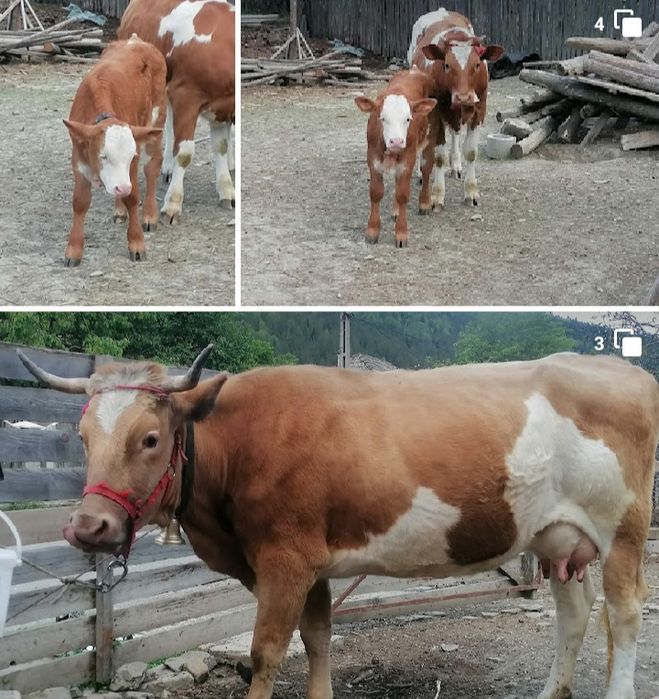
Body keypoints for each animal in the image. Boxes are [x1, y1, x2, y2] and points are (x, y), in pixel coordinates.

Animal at [16, 348, 657, 699]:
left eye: (150, 438)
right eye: (81, 435)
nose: (88, 527)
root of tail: (623, 371)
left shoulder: (283, 559)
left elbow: (267, 651)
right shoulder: (312, 561)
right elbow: (318, 639)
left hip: (622, 530)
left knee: (624, 614)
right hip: (557, 536)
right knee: (574, 612)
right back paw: (553, 690)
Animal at [63, 37, 166, 266]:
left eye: (130, 157)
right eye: (103, 156)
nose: (122, 187)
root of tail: (135, 40)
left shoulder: (133, 162)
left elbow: (133, 197)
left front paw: (137, 244)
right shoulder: (78, 159)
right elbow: (80, 202)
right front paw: (73, 251)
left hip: (156, 120)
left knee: (152, 168)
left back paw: (149, 215)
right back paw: (119, 209)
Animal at [117, 0, 236, 223]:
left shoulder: (221, 105)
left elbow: (221, 146)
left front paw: (226, 190)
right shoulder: (186, 95)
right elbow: (184, 153)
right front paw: (172, 203)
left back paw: (167, 167)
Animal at [355, 70, 437, 247]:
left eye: (408, 119)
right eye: (382, 118)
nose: (397, 141)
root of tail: (414, 70)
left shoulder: (408, 160)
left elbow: (403, 194)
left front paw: (401, 233)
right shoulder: (373, 158)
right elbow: (376, 192)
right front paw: (372, 231)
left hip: (431, 136)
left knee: (426, 170)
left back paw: (424, 203)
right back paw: (395, 210)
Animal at [409, 9, 504, 210]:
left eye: (477, 65)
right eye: (446, 65)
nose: (463, 97)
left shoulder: (479, 111)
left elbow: (471, 152)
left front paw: (471, 192)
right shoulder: (436, 113)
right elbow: (439, 156)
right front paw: (437, 195)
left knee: (455, 132)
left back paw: (456, 166)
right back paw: (421, 172)